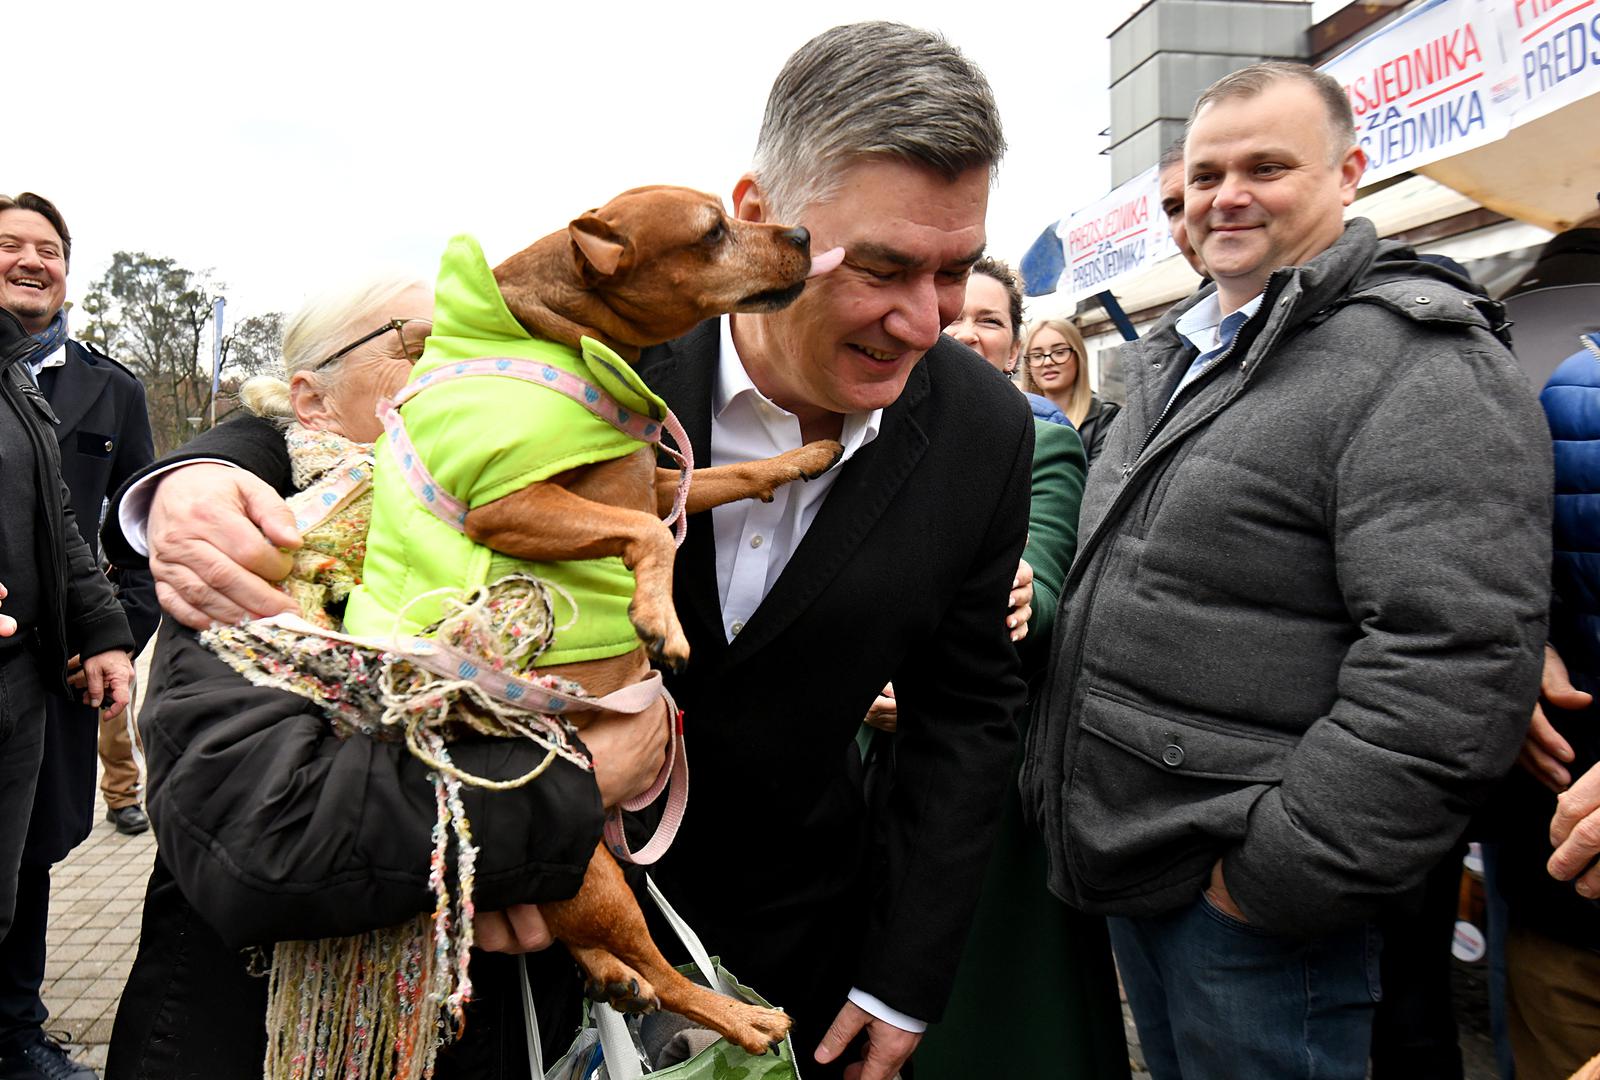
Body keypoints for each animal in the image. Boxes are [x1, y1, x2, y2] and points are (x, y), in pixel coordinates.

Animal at [454, 188, 844, 1056]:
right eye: (713, 233)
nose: (807, 232)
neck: (566, 335)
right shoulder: (511, 503)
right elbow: (643, 537)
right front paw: (656, 618)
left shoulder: (664, 479)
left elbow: (731, 471)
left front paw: (801, 459)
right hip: (603, 882)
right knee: (667, 972)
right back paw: (744, 1020)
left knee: (607, 957)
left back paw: (612, 979)